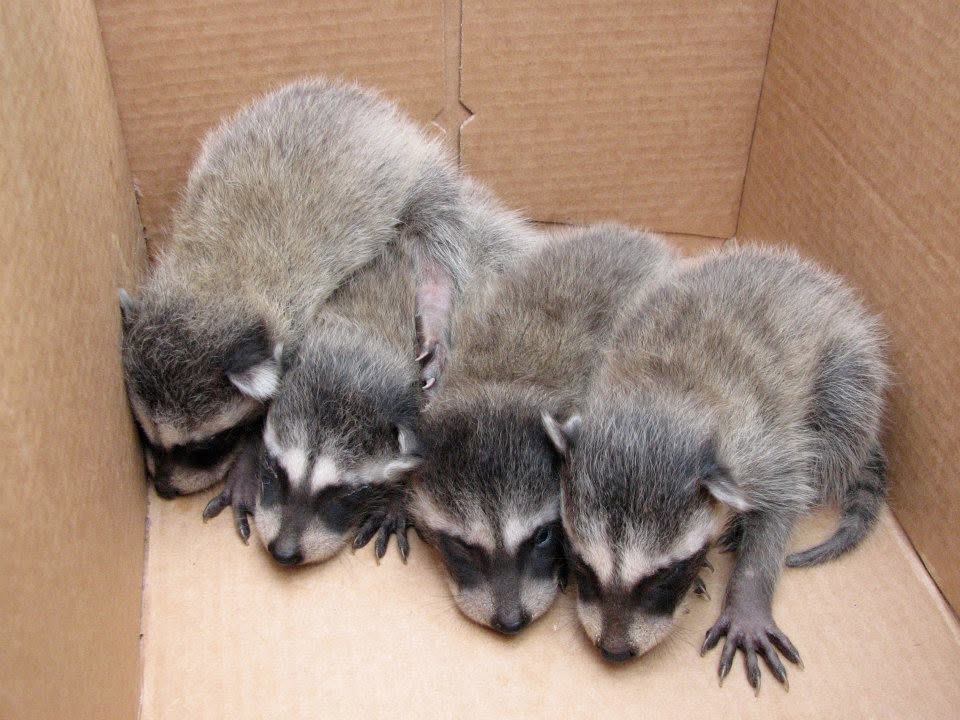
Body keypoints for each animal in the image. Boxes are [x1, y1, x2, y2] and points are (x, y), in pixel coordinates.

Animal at [120, 78, 474, 498]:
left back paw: (435, 301)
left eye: (206, 444)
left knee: (437, 238)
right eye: (144, 432)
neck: (213, 279)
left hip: (409, 177)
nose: (163, 489)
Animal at [204, 180, 537, 564]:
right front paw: (246, 466)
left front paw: (396, 503)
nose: (284, 553)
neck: (356, 355)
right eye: (276, 470)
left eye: (345, 493)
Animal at [545, 245, 889, 690]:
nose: (615, 652)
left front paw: (747, 595)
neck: (657, 402)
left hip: (851, 367)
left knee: (839, 427)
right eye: (583, 561)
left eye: (664, 574)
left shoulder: (761, 446)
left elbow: (783, 505)